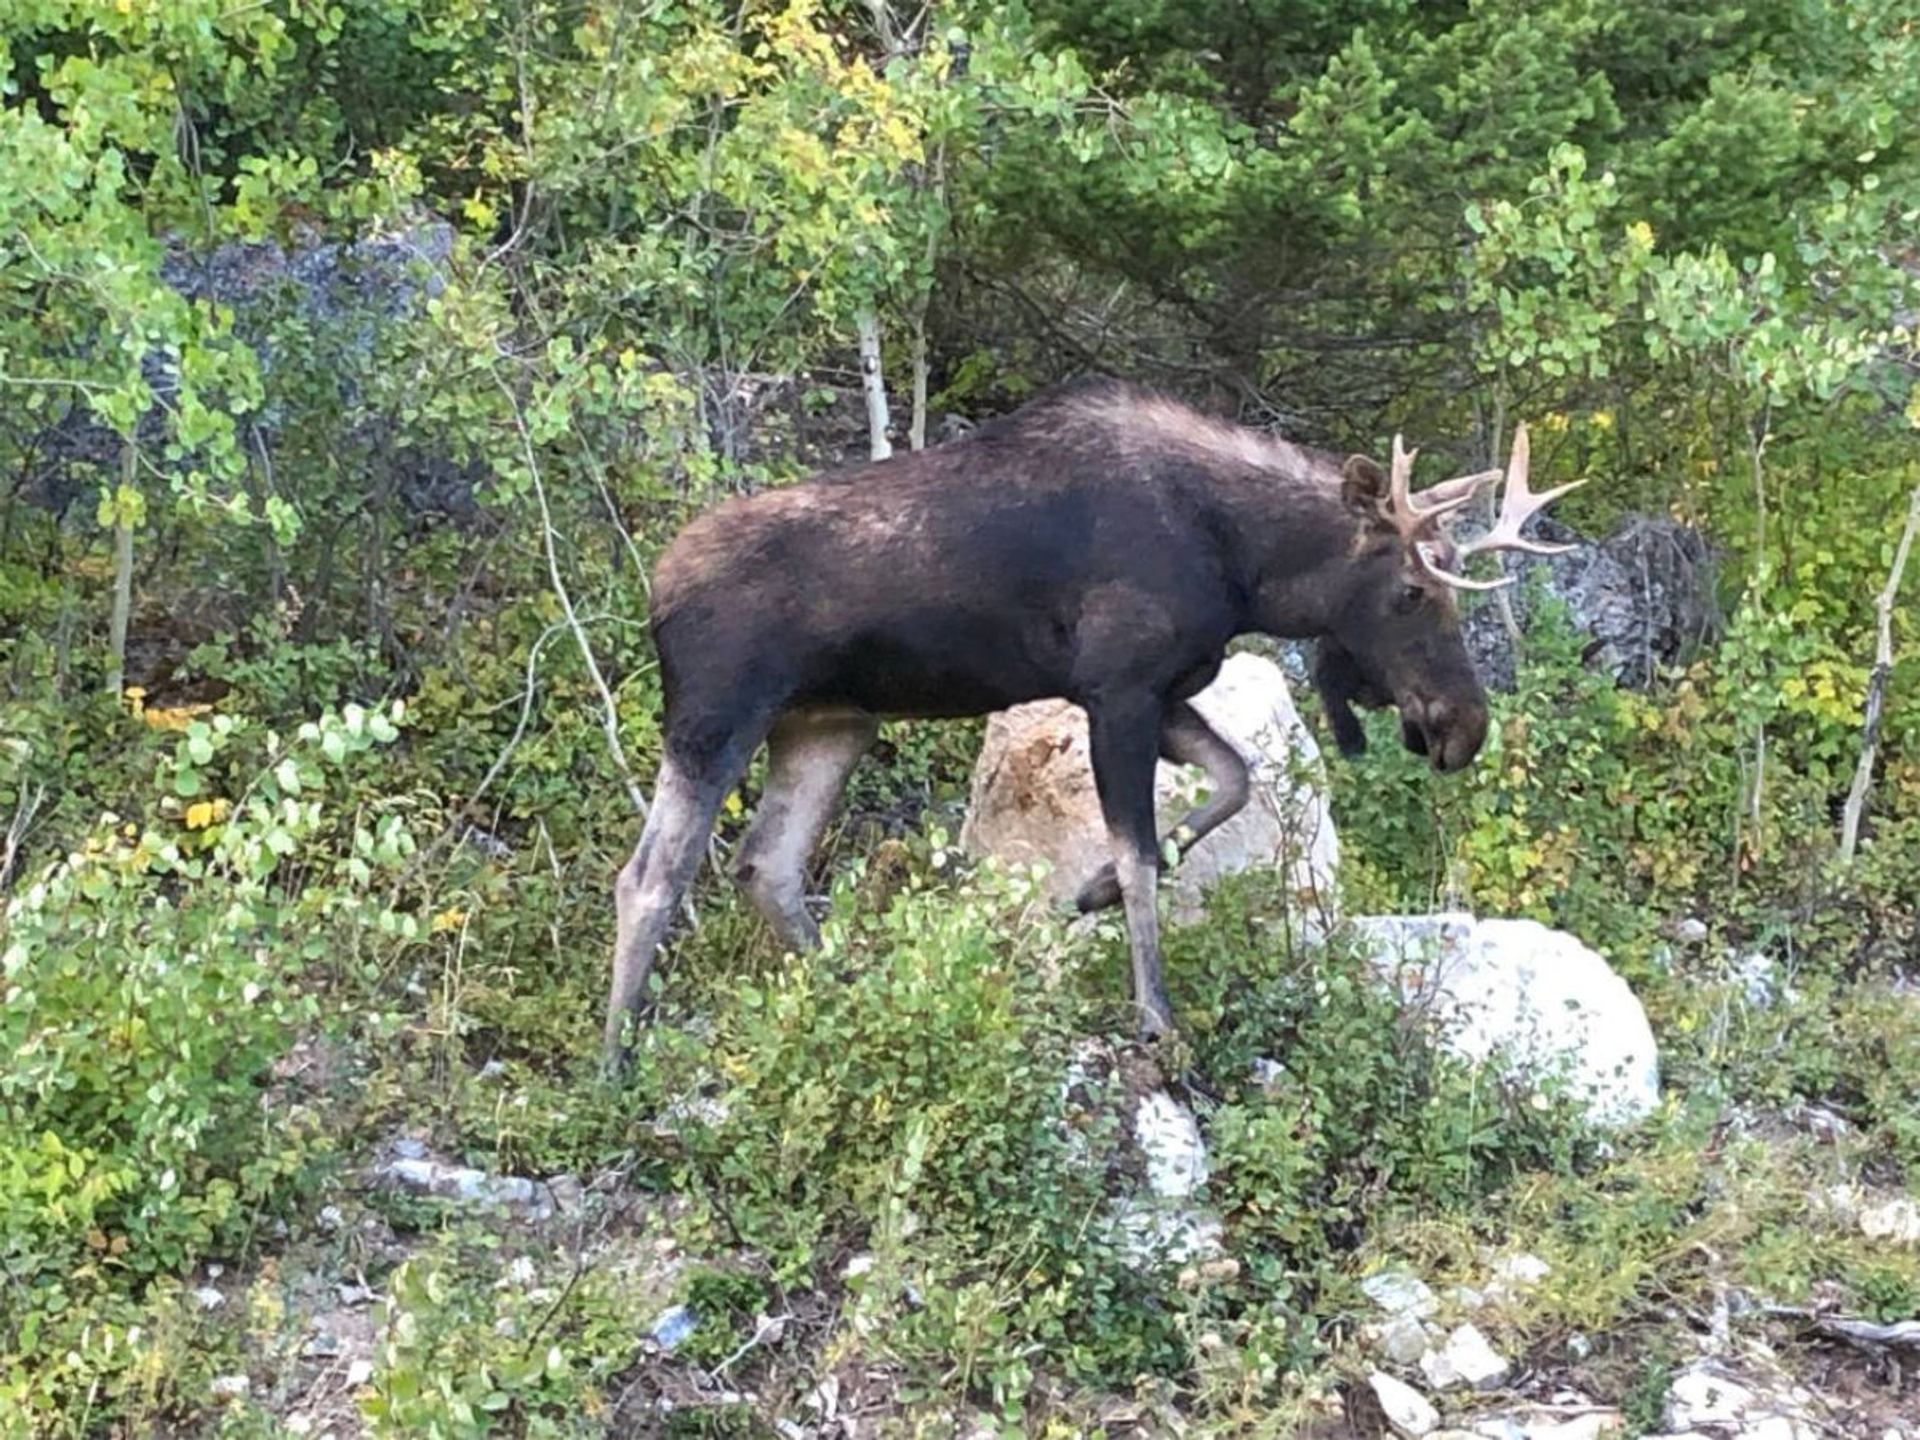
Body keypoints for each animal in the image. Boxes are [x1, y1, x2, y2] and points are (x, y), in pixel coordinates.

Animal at [603, 377, 1579, 1069]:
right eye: (1414, 589)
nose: (1462, 725)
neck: (1247, 566)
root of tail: (654, 587)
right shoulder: (1119, 689)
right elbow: (1145, 856)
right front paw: (1156, 1015)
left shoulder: (1161, 687)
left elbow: (1231, 780)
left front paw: (1091, 892)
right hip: (717, 713)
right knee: (650, 875)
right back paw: (617, 1064)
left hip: (828, 723)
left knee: (766, 864)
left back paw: (855, 992)